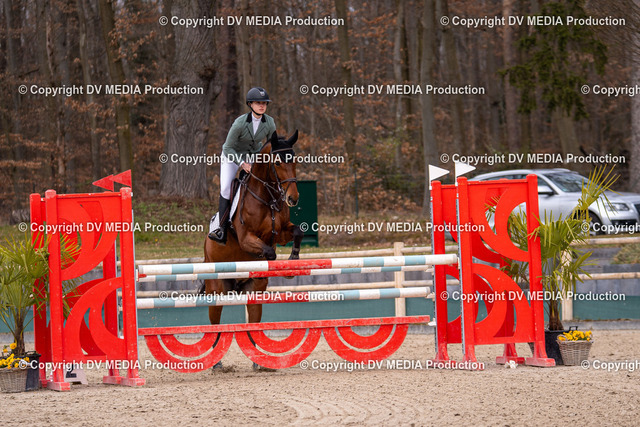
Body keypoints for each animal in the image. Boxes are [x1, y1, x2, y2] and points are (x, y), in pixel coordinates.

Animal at [203, 130, 304, 339]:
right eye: (278, 163)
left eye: (295, 160)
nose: (293, 198)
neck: (267, 198)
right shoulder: (246, 239)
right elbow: (269, 253)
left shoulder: (281, 234)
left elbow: (299, 232)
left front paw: (292, 262)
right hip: (216, 290)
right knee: (214, 324)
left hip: (252, 296)